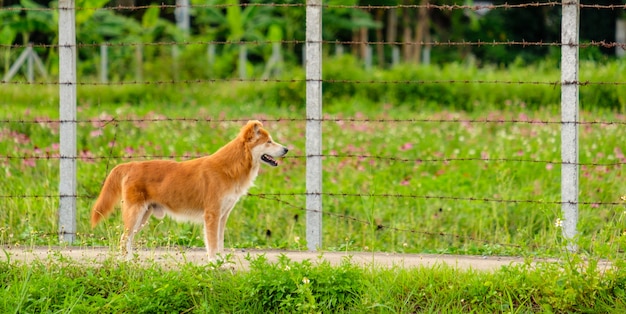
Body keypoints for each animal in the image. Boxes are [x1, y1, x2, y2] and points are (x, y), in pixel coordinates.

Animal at [90, 120, 288, 260]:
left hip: (143, 216)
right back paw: (127, 262)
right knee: (124, 239)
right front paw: (214, 264)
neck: (229, 168)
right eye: (269, 142)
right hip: (135, 213)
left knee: (127, 239)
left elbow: (220, 243)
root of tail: (130, 165)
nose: (286, 149)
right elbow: (212, 244)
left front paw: (222, 262)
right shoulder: (212, 215)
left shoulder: (223, 216)